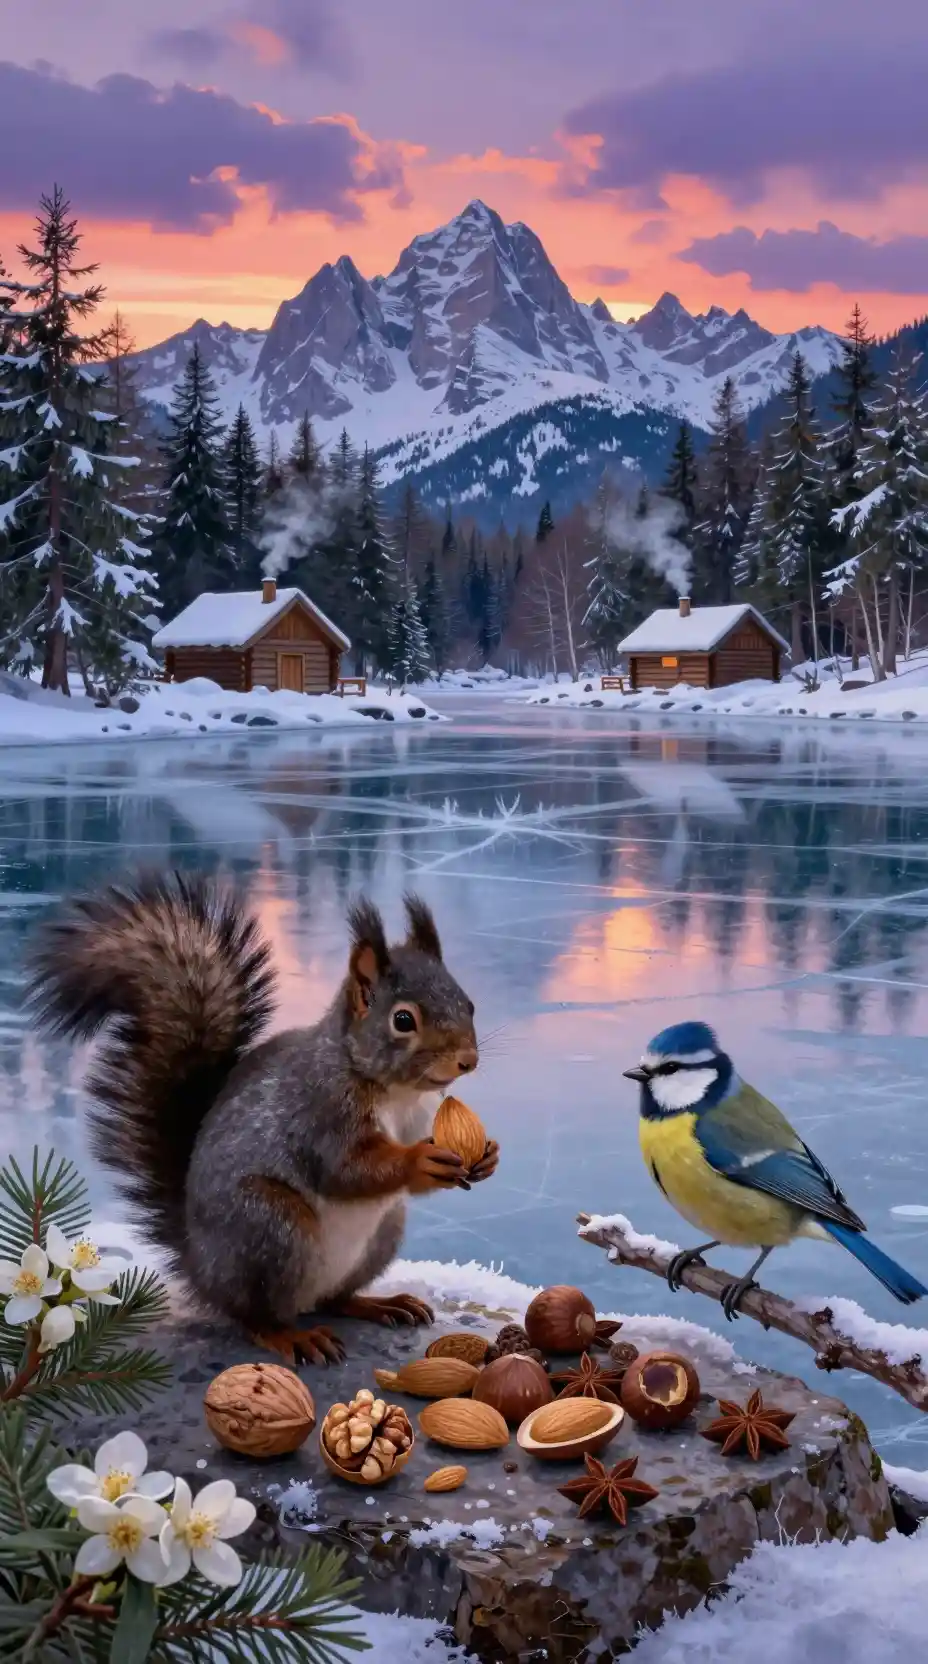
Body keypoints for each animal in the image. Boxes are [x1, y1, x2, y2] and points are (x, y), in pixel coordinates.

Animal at [26, 872, 497, 1366]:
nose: (467, 1060)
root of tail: (199, 1266)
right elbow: (345, 1168)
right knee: (255, 1315)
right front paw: (417, 1163)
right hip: (270, 1227)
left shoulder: (418, 1118)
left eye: (468, 1004)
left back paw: (377, 1303)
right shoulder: (319, 1110)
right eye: (403, 1020)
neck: (395, 1091)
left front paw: (487, 1156)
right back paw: (290, 1335)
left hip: (383, 1231)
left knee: (335, 1299)